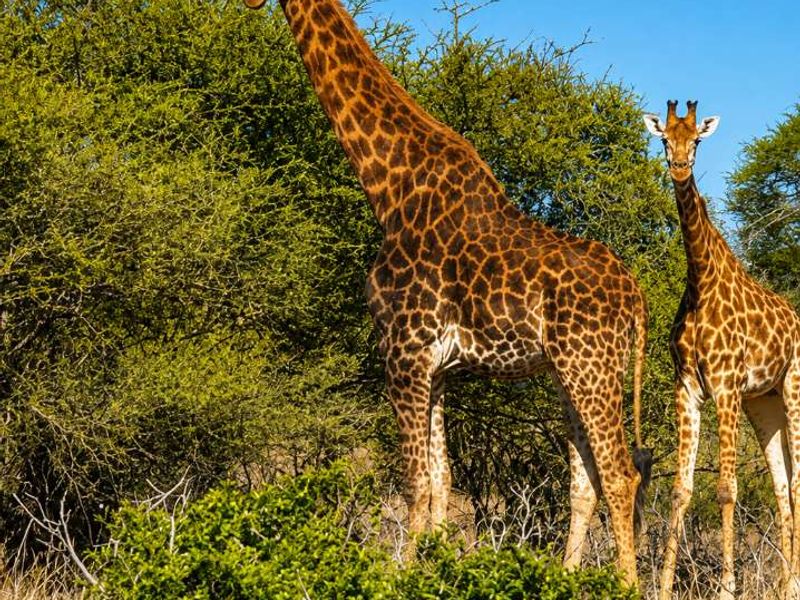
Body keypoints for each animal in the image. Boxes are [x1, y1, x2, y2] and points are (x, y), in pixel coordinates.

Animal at [243, 0, 652, 582]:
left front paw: (401, 576)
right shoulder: (437, 367)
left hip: (588, 365)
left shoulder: (402, 350)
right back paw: (566, 577)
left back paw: (624, 583)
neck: (389, 189)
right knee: (586, 479)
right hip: (574, 373)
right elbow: (442, 481)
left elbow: (414, 482)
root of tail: (636, 297)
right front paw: (436, 569)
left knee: (619, 473)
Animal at [645, 100, 800, 600]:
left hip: (792, 391)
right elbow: (681, 489)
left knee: (796, 482)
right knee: (782, 484)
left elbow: (726, 489)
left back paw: (791, 583)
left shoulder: (726, 387)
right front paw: (665, 585)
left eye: (696, 139)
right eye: (664, 138)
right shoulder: (689, 390)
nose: (679, 167)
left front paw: (727, 587)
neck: (700, 282)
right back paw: (787, 582)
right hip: (764, 403)